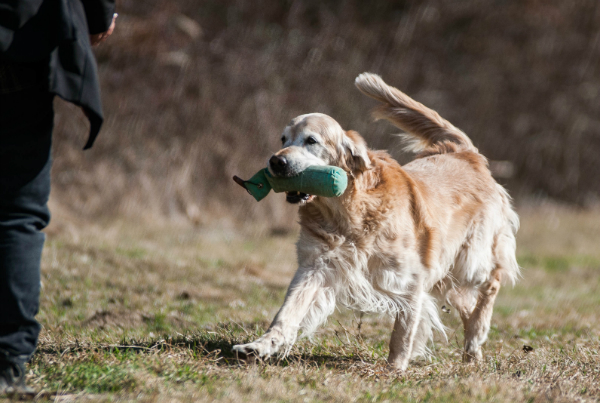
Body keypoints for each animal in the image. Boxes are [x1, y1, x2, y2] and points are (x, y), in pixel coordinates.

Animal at [232, 72, 516, 370]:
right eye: (283, 139)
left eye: (311, 141)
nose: (276, 161)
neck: (348, 212)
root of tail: (464, 152)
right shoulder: (315, 267)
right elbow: (286, 313)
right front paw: (260, 346)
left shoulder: (411, 277)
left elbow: (403, 331)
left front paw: (395, 368)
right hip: (445, 271)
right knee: (466, 303)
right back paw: (472, 351)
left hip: (470, 259)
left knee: (492, 282)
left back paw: (478, 332)